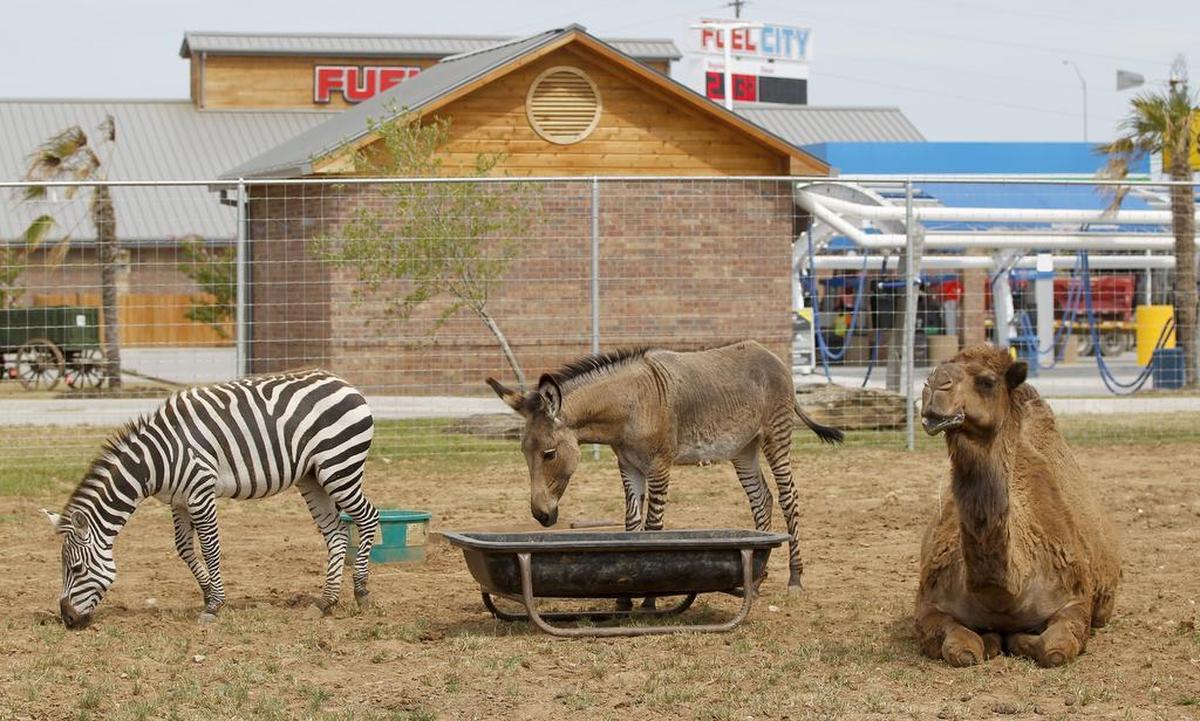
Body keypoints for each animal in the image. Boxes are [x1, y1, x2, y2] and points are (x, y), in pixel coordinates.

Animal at [915, 344, 1120, 667]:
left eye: (987, 381)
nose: (933, 384)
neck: (1006, 595)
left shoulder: (1075, 602)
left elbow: (1054, 650)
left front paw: (1014, 639)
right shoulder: (928, 605)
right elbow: (962, 650)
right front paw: (989, 640)